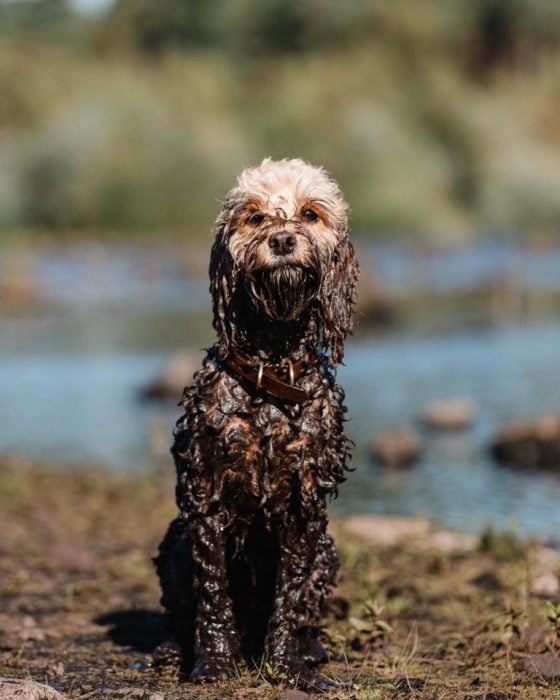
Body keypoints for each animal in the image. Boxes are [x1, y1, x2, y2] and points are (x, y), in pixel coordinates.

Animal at [154, 156, 358, 688]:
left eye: (309, 214)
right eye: (254, 217)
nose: (282, 240)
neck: (272, 365)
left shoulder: (304, 508)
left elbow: (289, 595)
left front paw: (287, 666)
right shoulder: (206, 497)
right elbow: (213, 593)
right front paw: (214, 663)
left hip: (328, 550)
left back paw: (309, 649)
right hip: (173, 542)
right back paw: (170, 649)